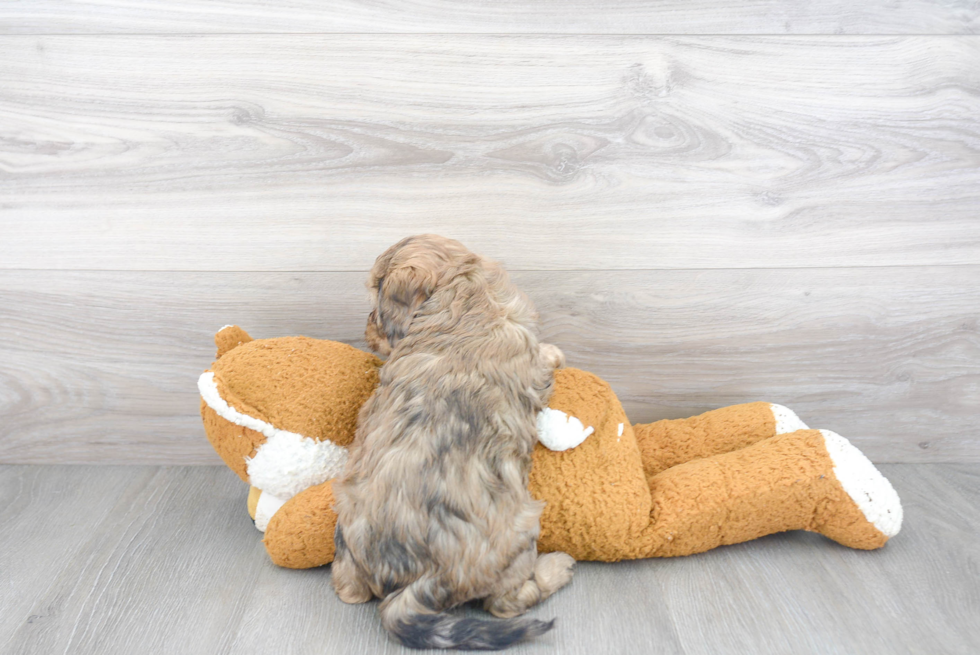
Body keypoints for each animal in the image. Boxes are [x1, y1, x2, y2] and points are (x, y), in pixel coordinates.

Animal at [334, 236, 576, 652]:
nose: (366, 329)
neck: (461, 296)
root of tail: (420, 581)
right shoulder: (530, 362)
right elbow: (544, 358)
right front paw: (554, 352)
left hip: (345, 534)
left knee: (347, 589)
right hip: (520, 535)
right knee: (507, 604)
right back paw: (556, 568)